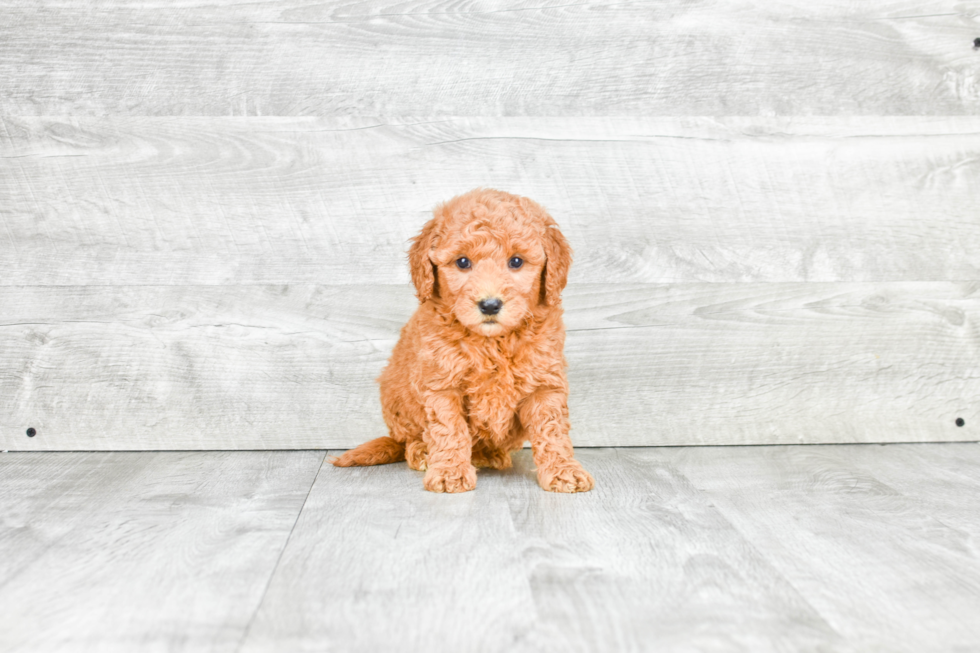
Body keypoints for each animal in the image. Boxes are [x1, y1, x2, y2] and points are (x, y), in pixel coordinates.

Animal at [334, 186, 592, 492]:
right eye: (463, 262)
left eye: (516, 261)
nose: (490, 305)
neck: (492, 343)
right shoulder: (442, 386)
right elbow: (450, 430)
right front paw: (449, 472)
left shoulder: (544, 385)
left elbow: (552, 431)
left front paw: (564, 471)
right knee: (409, 441)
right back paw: (424, 452)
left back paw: (487, 455)